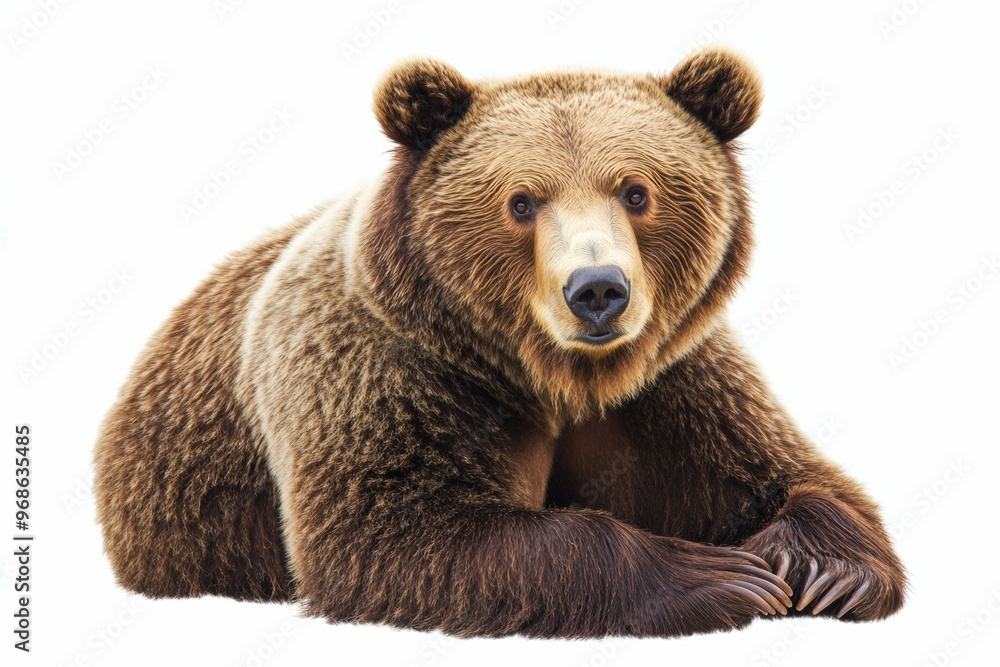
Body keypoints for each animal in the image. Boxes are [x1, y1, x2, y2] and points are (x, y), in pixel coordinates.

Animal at [93, 48, 906, 638]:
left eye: (636, 191)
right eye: (521, 201)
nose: (598, 289)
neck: (554, 376)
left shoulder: (672, 380)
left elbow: (781, 469)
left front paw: (817, 567)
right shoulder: (388, 368)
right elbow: (393, 534)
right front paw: (719, 576)